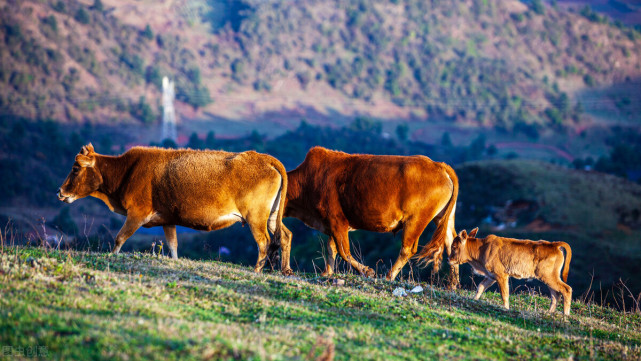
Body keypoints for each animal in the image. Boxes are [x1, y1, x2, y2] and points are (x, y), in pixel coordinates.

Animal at [57, 142, 292, 274]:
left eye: (75, 168)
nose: (60, 192)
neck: (126, 171)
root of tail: (263, 158)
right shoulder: (167, 219)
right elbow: (173, 246)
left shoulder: (136, 213)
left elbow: (119, 238)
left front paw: (112, 257)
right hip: (272, 216)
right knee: (285, 235)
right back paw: (285, 270)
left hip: (256, 217)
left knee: (264, 242)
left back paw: (257, 270)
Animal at [282, 146, 458, 282]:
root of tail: (438, 165)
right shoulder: (331, 223)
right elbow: (332, 248)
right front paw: (327, 273)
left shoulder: (336, 220)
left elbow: (343, 250)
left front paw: (367, 271)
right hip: (443, 217)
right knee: (454, 244)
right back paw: (453, 285)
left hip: (415, 220)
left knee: (407, 249)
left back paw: (389, 276)